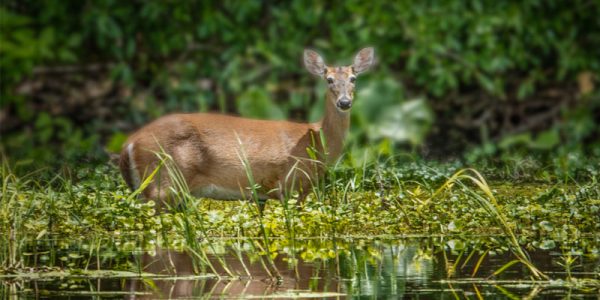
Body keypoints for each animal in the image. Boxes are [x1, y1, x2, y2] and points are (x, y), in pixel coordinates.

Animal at [120, 48, 376, 210]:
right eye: (329, 79)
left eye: (353, 78)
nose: (344, 102)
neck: (317, 140)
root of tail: (129, 143)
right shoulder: (291, 184)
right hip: (163, 183)